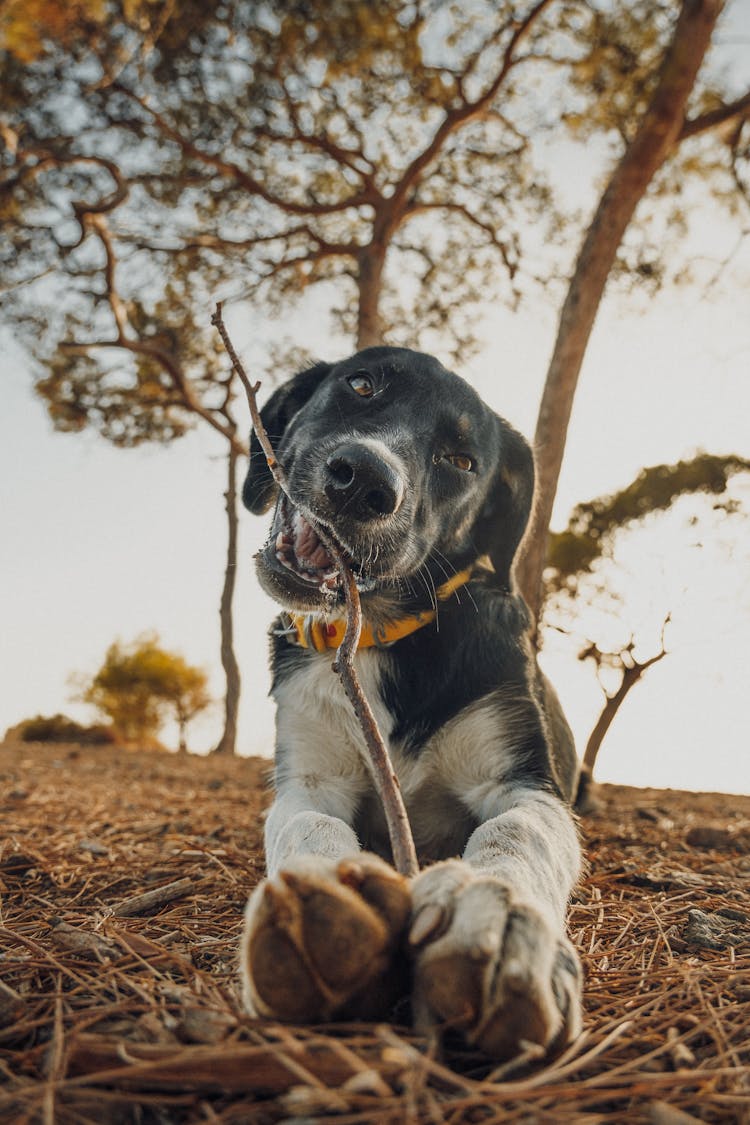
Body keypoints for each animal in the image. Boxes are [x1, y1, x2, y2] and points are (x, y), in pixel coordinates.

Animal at [237, 346, 584, 1057]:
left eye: (462, 461)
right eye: (361, 384)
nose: (362, 480)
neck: (378, 632)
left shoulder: (527, 782)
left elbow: (516, 832)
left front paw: (497, 912)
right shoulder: (309, 778)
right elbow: (306, 825)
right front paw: (330, 901)